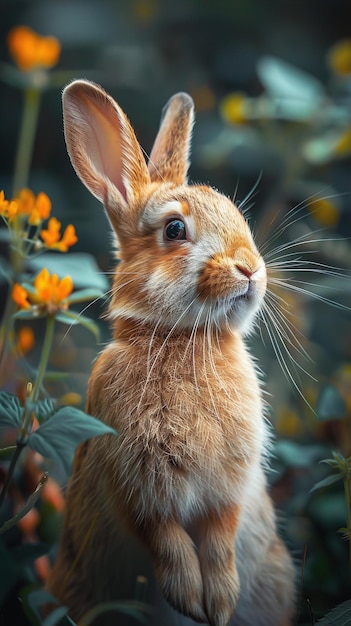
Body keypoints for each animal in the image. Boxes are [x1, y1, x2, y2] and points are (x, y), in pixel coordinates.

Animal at [46, 79, 294, 624]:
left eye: (236, 215)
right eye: (175, 230)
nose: (250, 268)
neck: (181, 339)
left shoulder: (231, 486)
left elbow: (221, 533)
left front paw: (218, 603)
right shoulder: (133, 484)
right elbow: (162, 536)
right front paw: (188, 598)